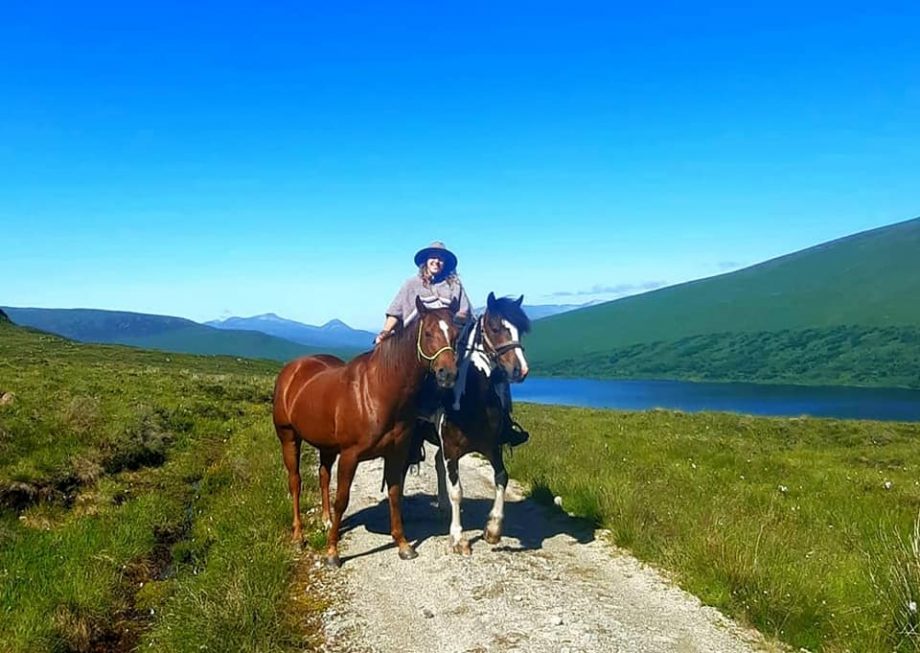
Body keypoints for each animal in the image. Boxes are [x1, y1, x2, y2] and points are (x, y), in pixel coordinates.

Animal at [272, 296, 460, 564]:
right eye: (429, 333)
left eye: (455, 333)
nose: (448, 374)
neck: (378, 391)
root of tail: (293, 369)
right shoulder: (350, 456)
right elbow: (342, 500)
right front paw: (332, 552)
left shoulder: (396, 453)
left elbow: (394, 494)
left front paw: (403, 544)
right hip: (289, 437)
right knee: (295, 482)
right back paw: (299, 536)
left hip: (327, 447)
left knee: (323, 476)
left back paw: (326, 521)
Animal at [414, 296, 528, 556]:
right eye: (495, 328)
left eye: (521, 329)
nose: (520, 369)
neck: (472, 400)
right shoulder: (451, 450)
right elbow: (457, 491)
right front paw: (458, 539)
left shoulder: (492, 447)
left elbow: (502, 477)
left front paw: (493, 529)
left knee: (437, 463)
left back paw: (442, 507)